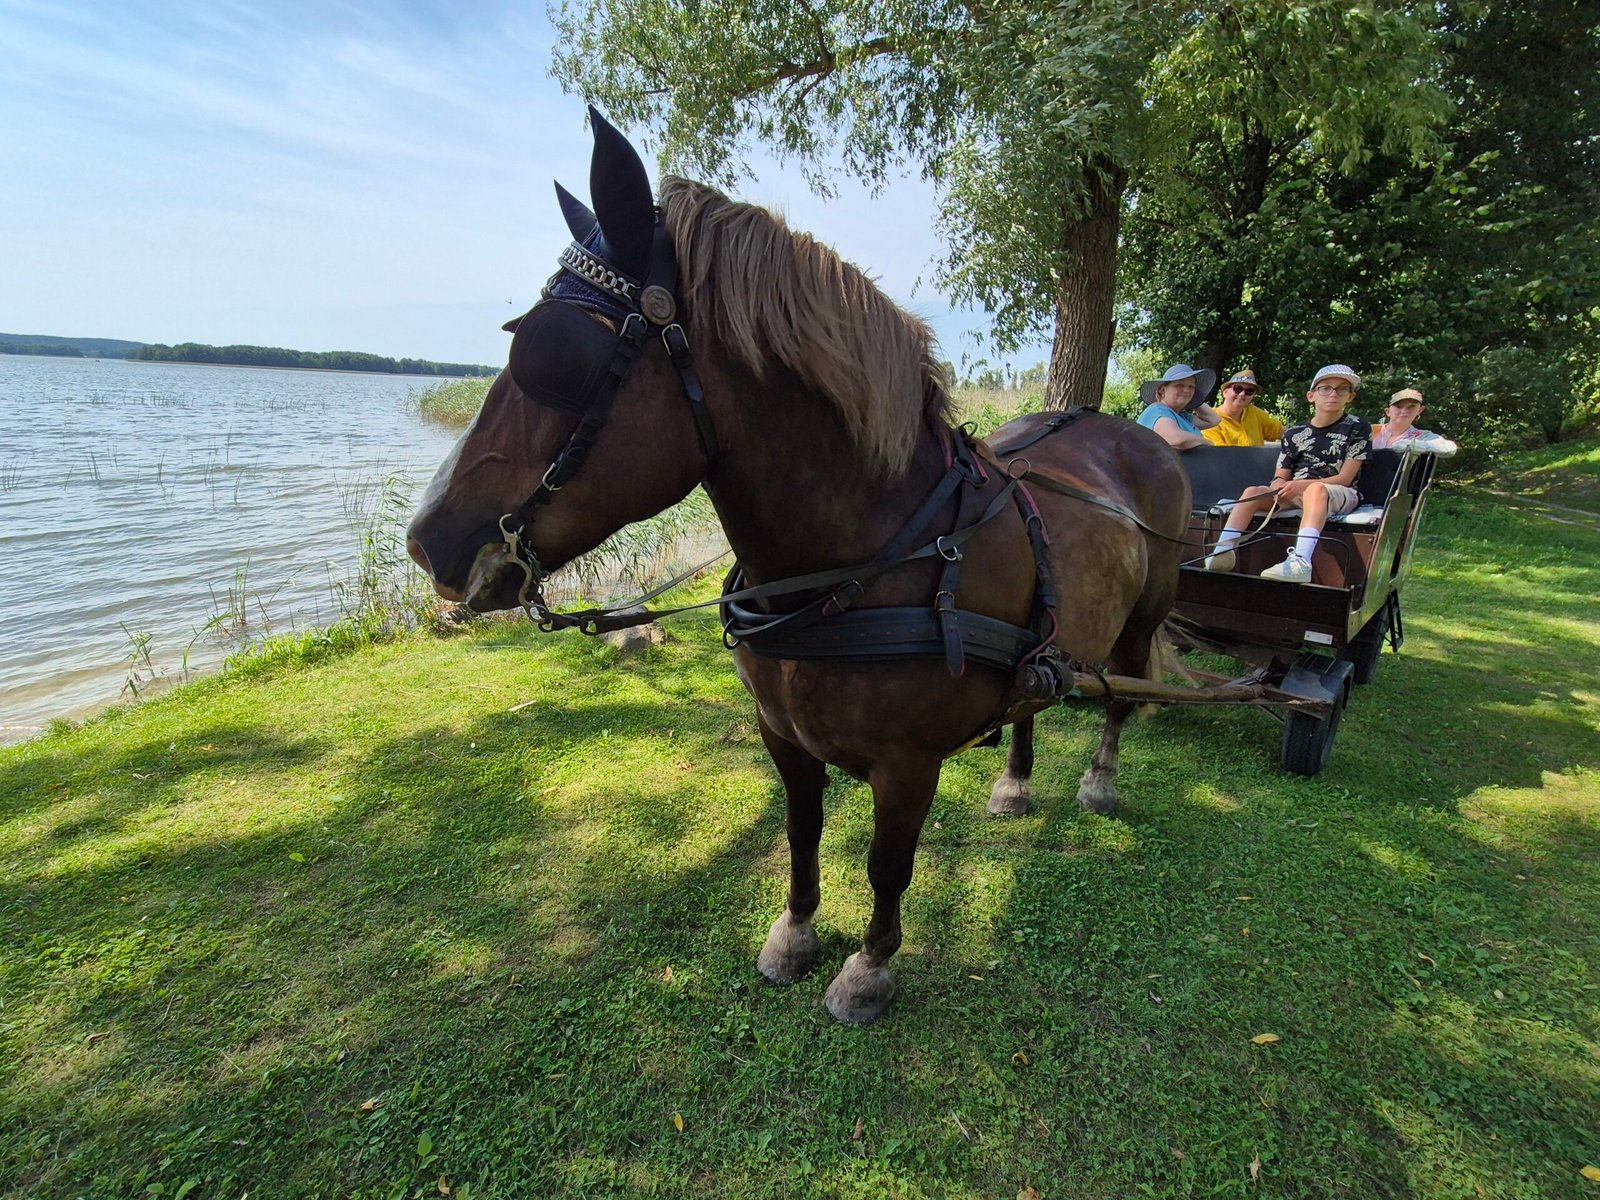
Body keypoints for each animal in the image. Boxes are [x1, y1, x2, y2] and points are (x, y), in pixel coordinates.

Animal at [406, 109, 1192, 1024]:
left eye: (552, 355)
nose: (429, 542)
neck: (855, 570)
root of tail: (1131, 431)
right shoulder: (781, 734)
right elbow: (802, 831)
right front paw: (795, 934)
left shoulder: (907, 765)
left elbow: (888, 865)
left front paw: (868, 968)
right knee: (1038, 696)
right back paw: (1015, 782)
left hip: (1142, 616)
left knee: (1120, 698)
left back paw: (1098, 781)